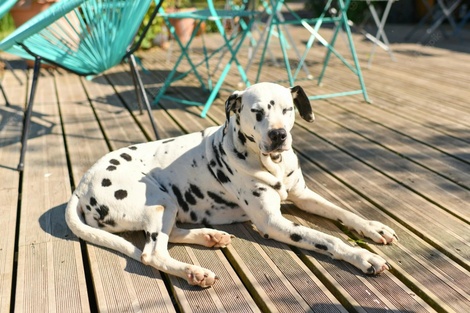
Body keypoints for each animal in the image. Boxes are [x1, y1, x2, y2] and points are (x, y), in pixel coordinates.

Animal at [65, 81, 396, 286]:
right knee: (153, 253)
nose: (279, 135)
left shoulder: (303, 195)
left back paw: (209, 236)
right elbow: (327, 239)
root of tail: (80, 187)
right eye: (257, 112)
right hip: (159, 199)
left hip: (167, 206)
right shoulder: (273, 222)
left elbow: (344, 212)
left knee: (170, 235)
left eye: (287, 109)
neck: (272, 164)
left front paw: (373, 227)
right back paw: (193, 272)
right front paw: (362, 256)